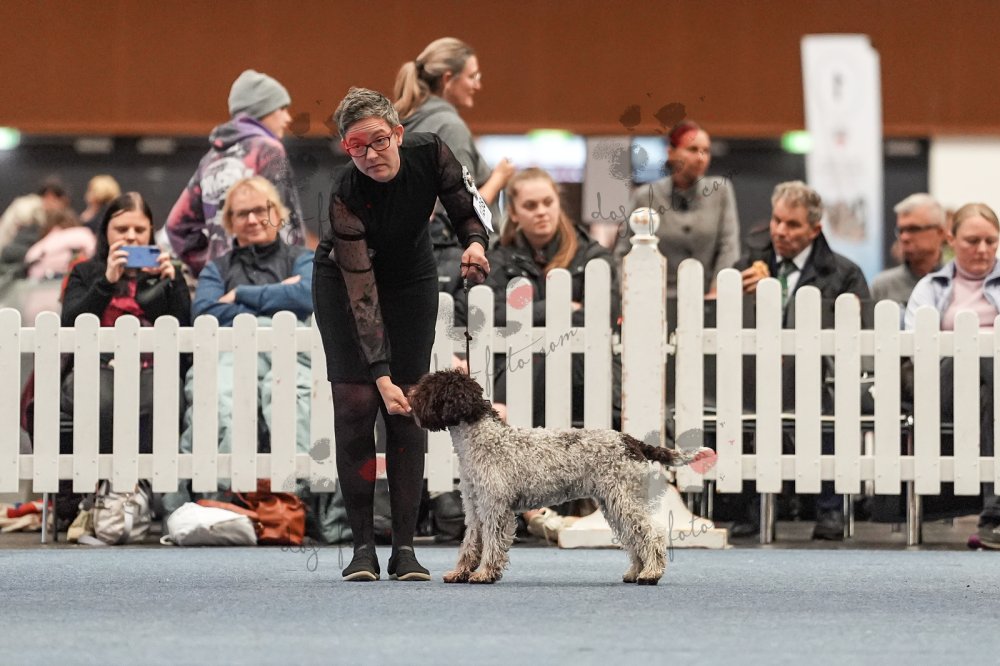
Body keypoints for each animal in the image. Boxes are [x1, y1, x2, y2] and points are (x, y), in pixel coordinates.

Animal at [408, 369, 716, 585]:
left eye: (430, 388)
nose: (409, 395)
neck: (481, 439)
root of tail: (630, 441)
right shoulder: (474, 508)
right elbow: (470, 544)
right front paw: (460, 573)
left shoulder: (495, 507)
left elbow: (492, 544)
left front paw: (484, 574)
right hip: (613, 502)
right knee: (634, 538)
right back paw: (635, 572)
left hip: (623, 499)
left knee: (650, 534)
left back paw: (651, 573)